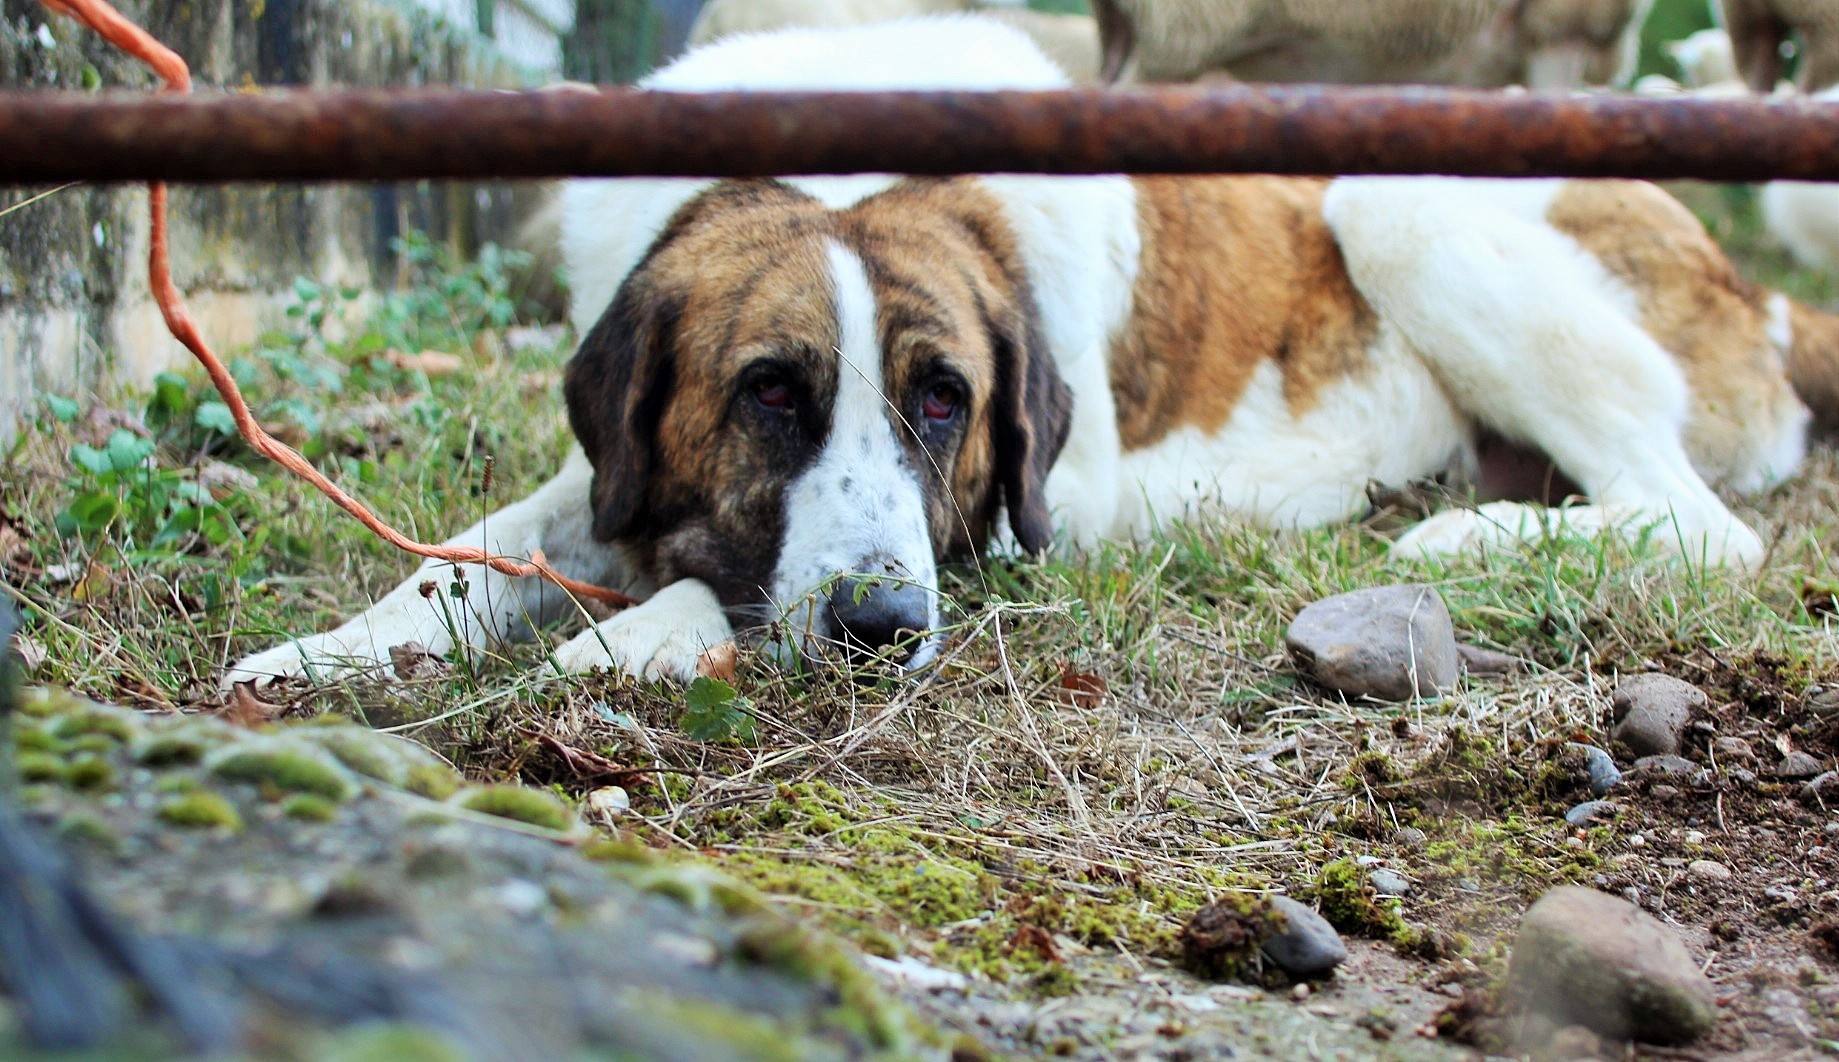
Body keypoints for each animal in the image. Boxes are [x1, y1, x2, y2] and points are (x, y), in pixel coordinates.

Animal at [226, 18, 1839, 688]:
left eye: (945, 402)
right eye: (769, 392)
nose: (880, 627)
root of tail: (1756, 292)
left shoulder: (1002, 526)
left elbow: (698, 578)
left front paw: (632, 634)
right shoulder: (608, 470)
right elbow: (473, 548)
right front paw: (337, 647)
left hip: (1407, 197)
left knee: (1697, 527)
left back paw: (1468, 531)